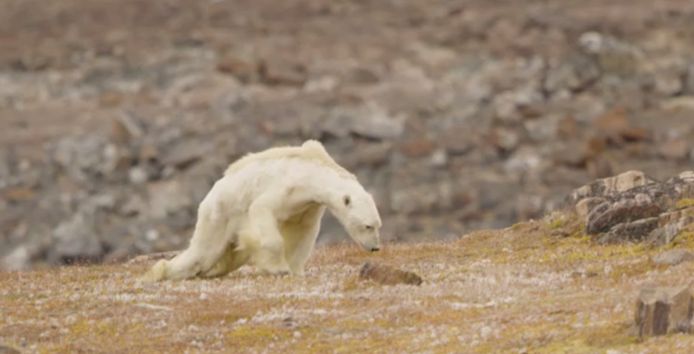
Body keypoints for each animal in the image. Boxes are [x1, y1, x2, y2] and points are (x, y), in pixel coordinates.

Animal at [141, 140, 380, 280]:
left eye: (378, 225)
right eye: (368, 226)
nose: (375, 247)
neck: (313, 171)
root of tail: (210, 194)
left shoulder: (308, 206)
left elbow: (304, 232)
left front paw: (295, 269)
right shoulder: (287, 188)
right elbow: (262, 209)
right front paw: (278, 268)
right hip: (219, 214)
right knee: (204, 251)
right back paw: (161, 271)